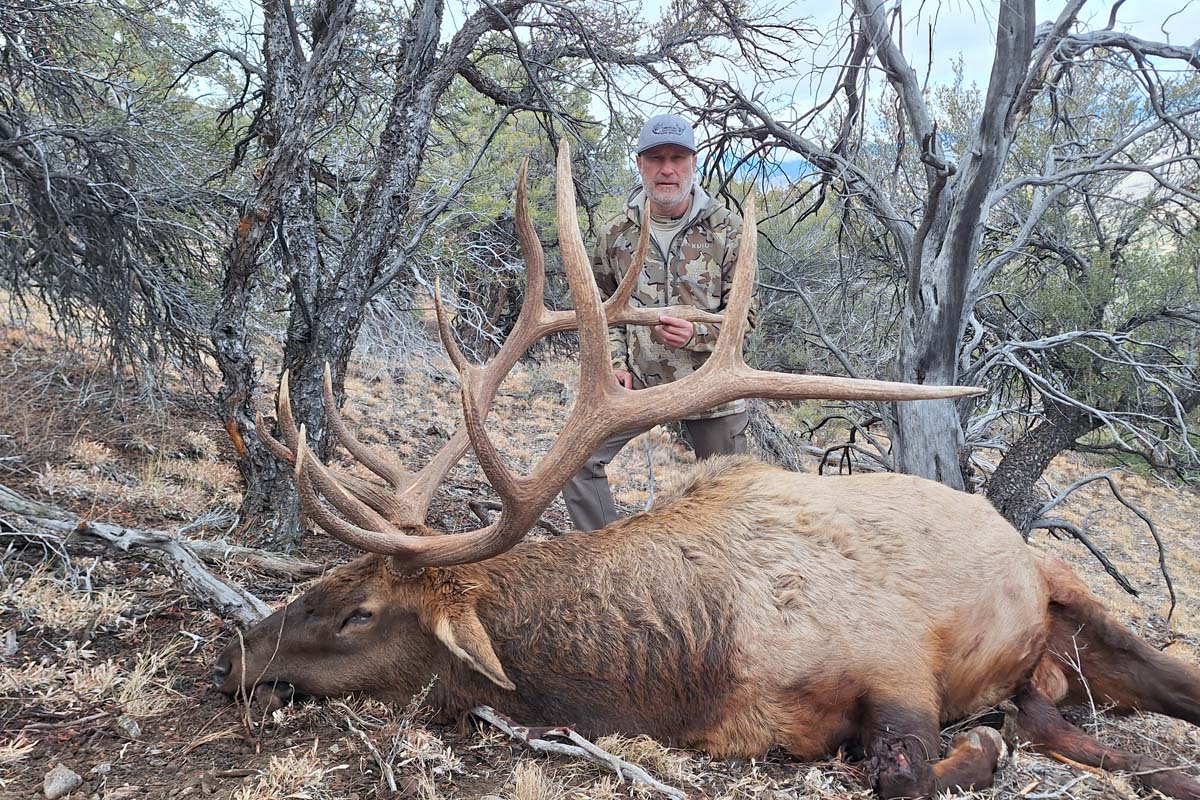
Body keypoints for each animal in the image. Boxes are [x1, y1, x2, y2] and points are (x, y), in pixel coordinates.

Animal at [214, 144, 1200, 798]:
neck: (691, 670)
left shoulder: (899, 670)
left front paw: (987, 747)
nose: (238, 654)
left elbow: (908, 774)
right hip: (1060, 664)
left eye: (359, 613)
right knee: (1067, 715)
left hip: (1075, 595)